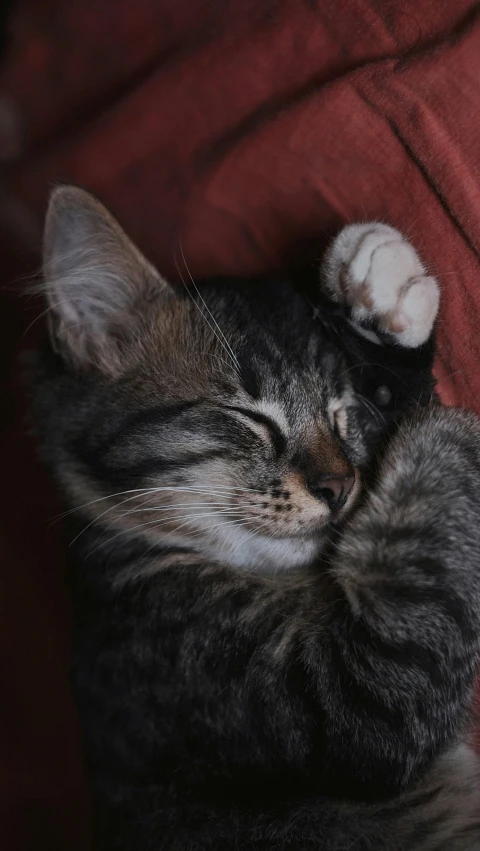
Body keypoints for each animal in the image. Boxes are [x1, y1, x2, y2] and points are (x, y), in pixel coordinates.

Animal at [31, 188, 480, 851]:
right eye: (250, 418)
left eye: (342, 414)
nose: (339, 487)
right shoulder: (338, 707)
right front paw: (449, 429)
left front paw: (377, 311)